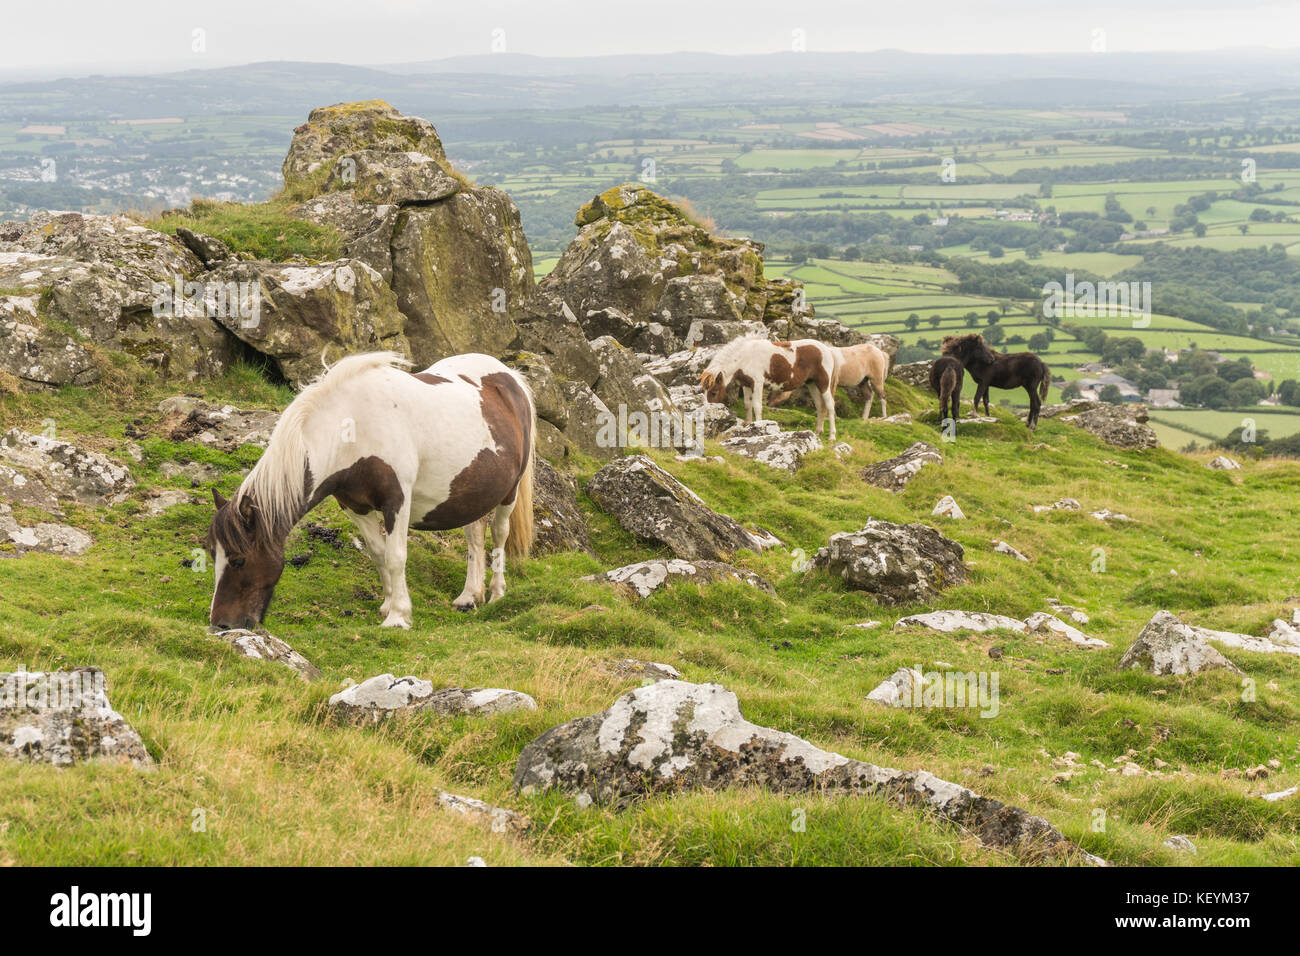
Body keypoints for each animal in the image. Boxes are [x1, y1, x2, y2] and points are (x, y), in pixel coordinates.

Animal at [205, 351, 535, 631]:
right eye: (212, 554)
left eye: (239, 560)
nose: (221, 624)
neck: (354, 428)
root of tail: (510, 377)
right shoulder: (355, 506)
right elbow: (378, 553)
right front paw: (388, 605)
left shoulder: (397, 500)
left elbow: (396, 556)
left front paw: (398, 616)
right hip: (471, 493)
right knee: (474, 537)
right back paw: (469, 596)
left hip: (509, 493)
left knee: (499, 534)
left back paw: (496, 594)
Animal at [700, 336, 840, 440]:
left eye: (713, 392)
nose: (707, 416)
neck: (745, 357)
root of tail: (827, 350)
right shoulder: (746, 385)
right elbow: (747, 405)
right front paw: (748, 425)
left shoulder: (757, 383)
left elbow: (757, 406)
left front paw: (758, 428)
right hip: (812, 384)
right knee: (820, 406)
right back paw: (817, 432)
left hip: (824, 384)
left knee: (829, 406)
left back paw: (832, 436)